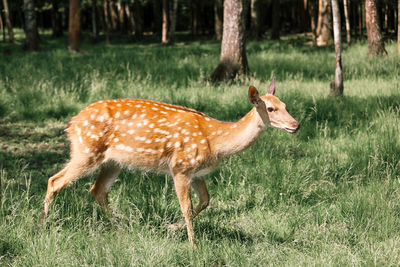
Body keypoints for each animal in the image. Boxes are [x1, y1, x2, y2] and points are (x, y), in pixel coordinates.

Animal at [37, 77, 298, 249]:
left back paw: (120, 231)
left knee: (97, 189)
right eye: (270, 108)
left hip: (112, 161)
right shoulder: (180, 167)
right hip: (86, 151)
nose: (295, 124)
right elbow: (187, 207)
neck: (215, 142)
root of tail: (72, 123)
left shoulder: (197, 172)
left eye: (285, 105)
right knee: (54, 181)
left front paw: (170, 228)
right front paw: (194, 247)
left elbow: (205, 201)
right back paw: (41, 227)